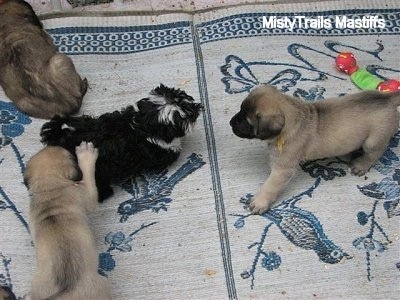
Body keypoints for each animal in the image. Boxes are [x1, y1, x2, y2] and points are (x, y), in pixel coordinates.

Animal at [230, 85, 400, 214]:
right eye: (240, 110)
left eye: (246, 121)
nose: (231, 122)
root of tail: (388, 99)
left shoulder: (283, 170)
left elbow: (270, 186)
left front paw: (260, 201)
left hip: (373, 141)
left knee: (374, 153)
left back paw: (360, 165)